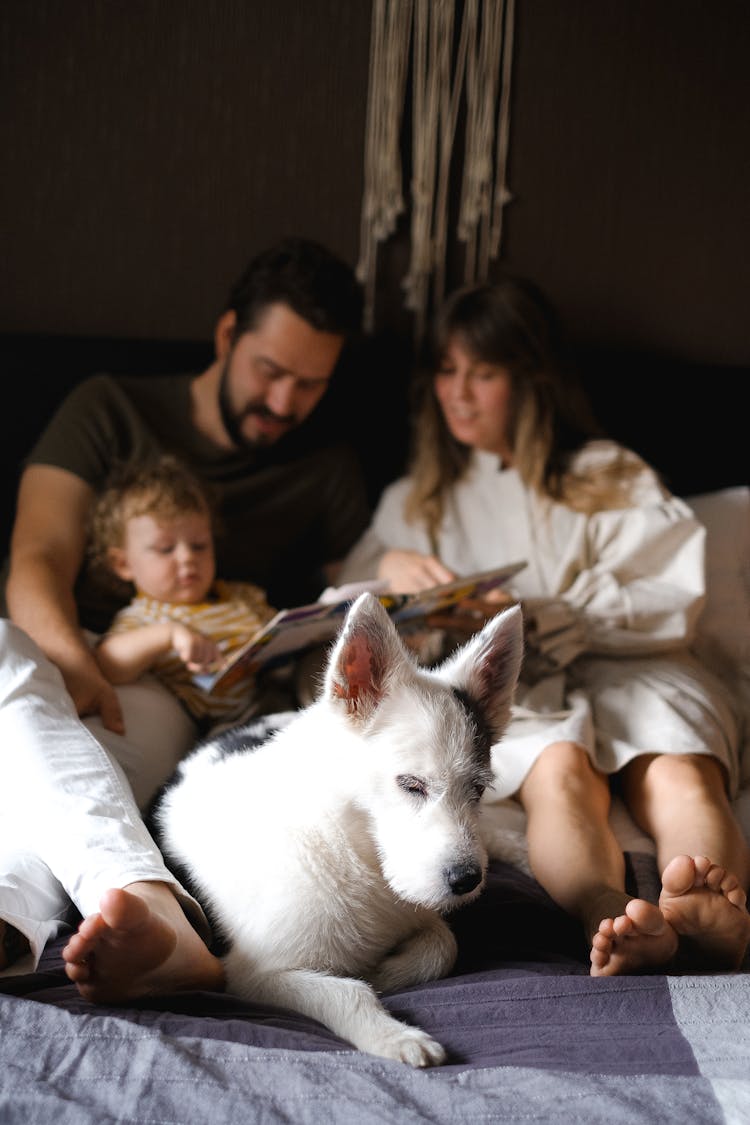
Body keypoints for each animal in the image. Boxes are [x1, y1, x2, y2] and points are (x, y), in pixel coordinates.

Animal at [154, 594, 521, 1066]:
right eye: (410, 785)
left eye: (477, 789)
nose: (467, 880)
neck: (351, 846)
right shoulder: (254, 973)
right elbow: (346, 991)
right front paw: (393, 1034)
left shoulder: (419, 908)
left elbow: (443, 944)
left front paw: (385, 971)